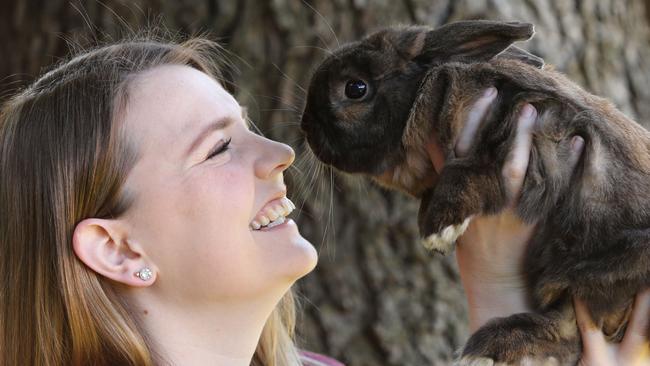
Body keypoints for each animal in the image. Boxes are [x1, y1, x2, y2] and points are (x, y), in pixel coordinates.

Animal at [298, 20, 648, 366]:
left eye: (355, 88)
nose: (305, 128)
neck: (423, 93)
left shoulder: (513, 126)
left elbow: (470, 168)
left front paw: (438, 230)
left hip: (597, 268)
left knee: (569, 327)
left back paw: (489, 347)